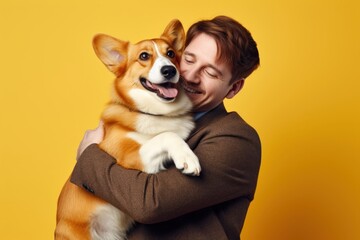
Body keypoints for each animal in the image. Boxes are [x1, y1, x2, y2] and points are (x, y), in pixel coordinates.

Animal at [56, 19, 202, 239]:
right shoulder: (129, 156)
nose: (169, 70)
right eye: (144, 56)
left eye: (170, 53)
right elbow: (167, 136)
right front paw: (188, 158)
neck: (157, 113)